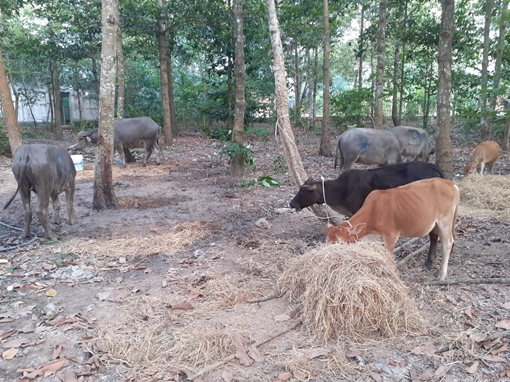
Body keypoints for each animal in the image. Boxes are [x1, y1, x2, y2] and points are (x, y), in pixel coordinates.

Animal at [326, 177, 462, 280]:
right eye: (327, 241)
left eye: (340, 242)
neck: (374, 210)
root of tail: (451, 184)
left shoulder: (390, 235)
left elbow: (389, 256)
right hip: (436, 223)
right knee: (435, 237)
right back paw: (429, 263)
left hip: (445, 221)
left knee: (448, 243)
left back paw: (442, 275)